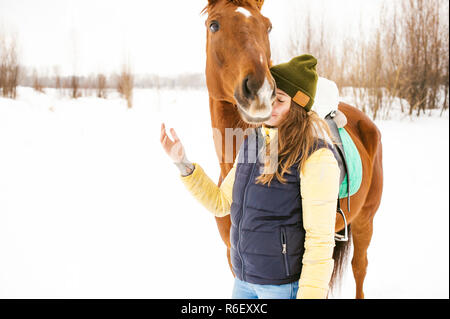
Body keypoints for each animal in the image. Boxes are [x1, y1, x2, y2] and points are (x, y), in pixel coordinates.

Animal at [204, 0, 384, 300]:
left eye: (267, 26)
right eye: (214, 25)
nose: (261, 91)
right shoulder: (233, 256)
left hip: (364, 221)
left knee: (360, 268)